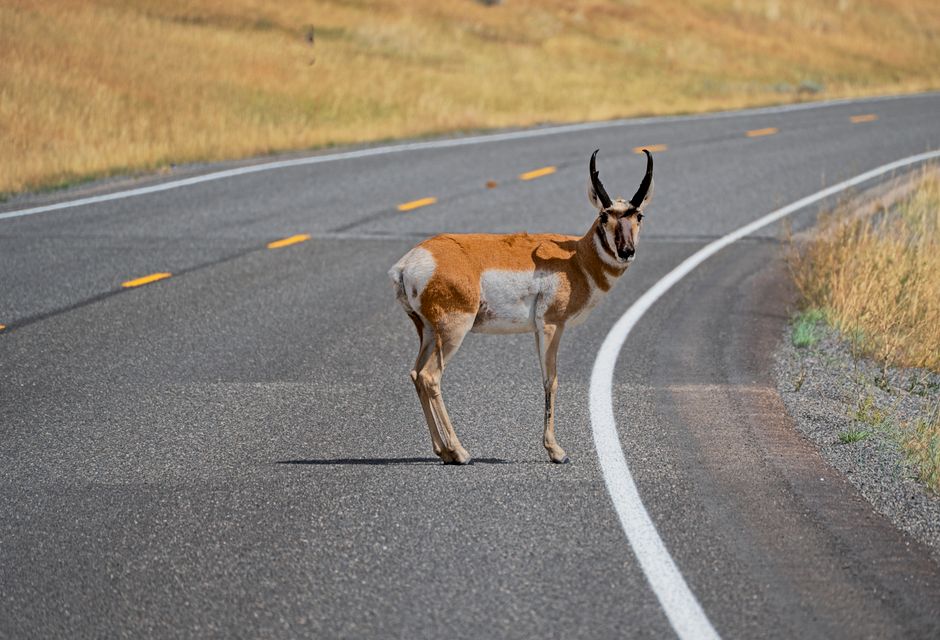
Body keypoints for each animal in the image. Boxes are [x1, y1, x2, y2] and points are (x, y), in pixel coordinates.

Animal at [388, 149, 654, 465]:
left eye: (638, 215)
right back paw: (460, 452)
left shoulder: (538, 329)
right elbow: (551, 380)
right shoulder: (552, 325)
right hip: (453, 332)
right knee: (430, 377)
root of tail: (409, 263)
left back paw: (443, 451)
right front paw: (556, 451)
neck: (576, 258)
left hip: (428, 332)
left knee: (416, 374)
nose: (626, 251)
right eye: (604, 216)